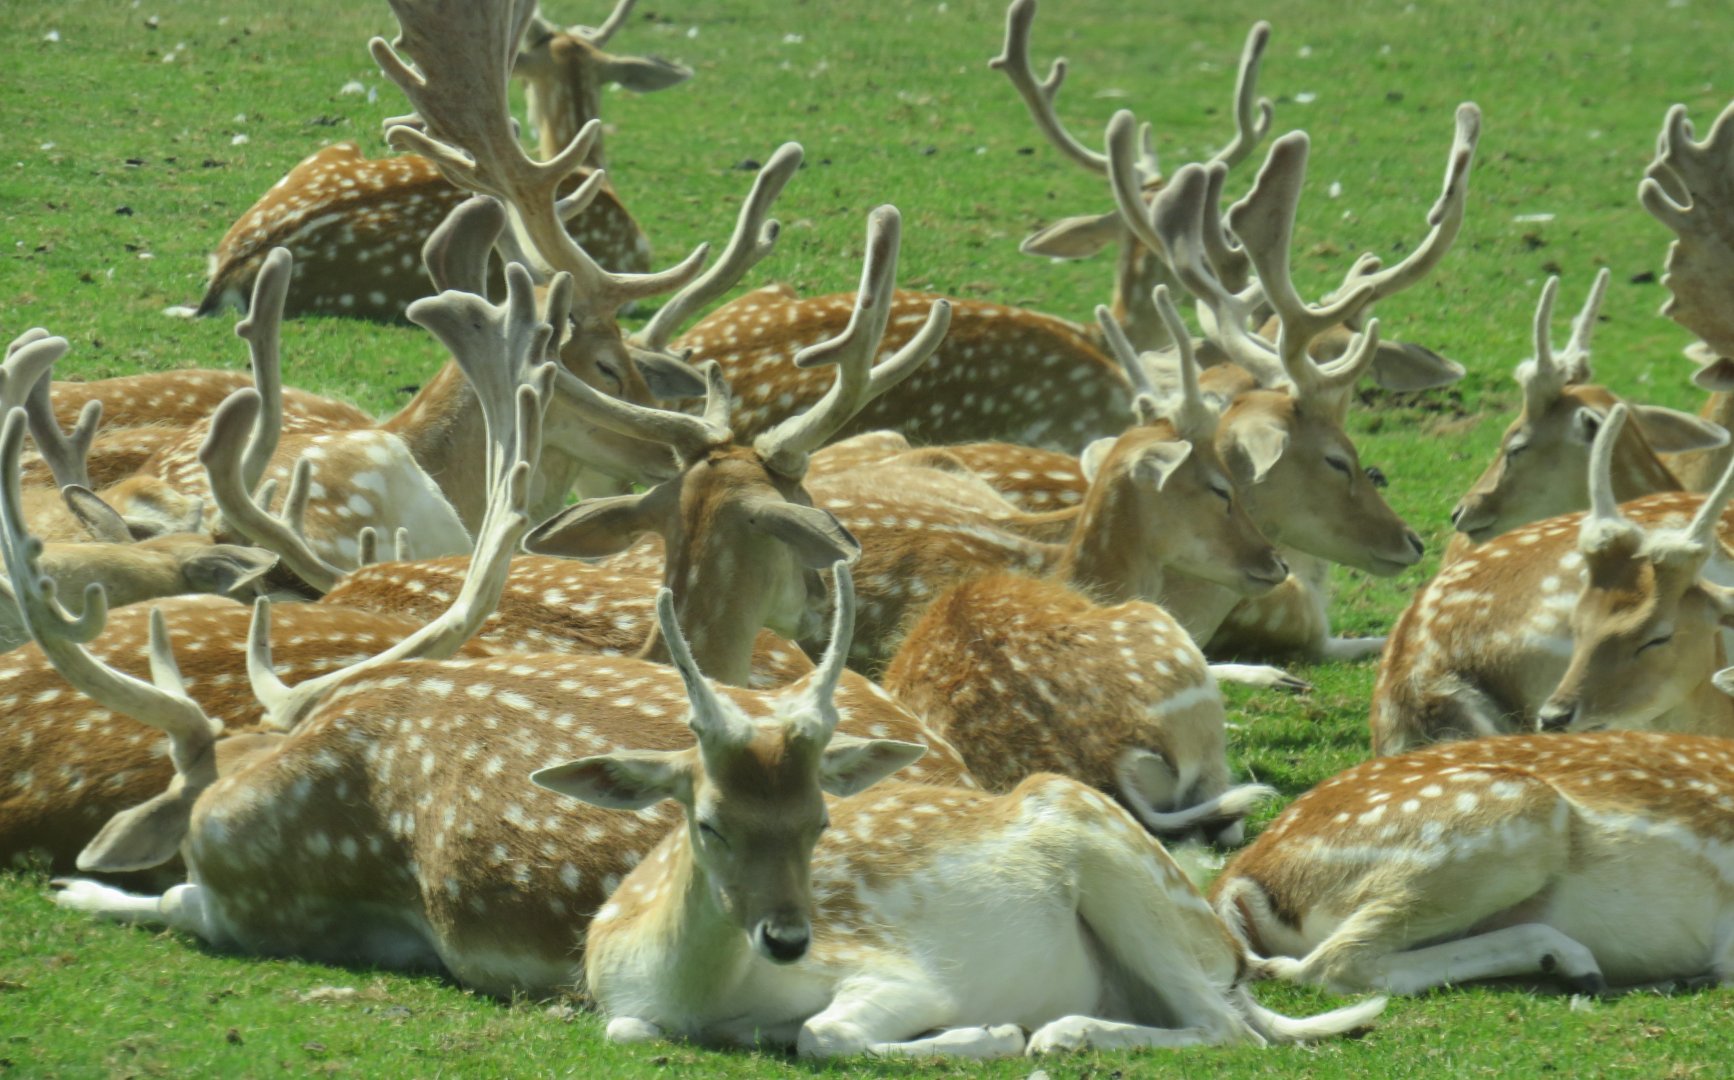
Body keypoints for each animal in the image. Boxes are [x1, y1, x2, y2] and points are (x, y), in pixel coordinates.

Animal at [540, 571, 1386, 1058]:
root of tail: (1227, 956)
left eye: (820, 820)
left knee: (1229, 1031)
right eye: (710, 821)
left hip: (1122, 874)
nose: (787, 939)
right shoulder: (621, 1006)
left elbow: (824, 1034)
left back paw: (1059, 1034)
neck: (690, 992)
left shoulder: (894, 974)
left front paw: (986, 1032)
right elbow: (627, 1028)